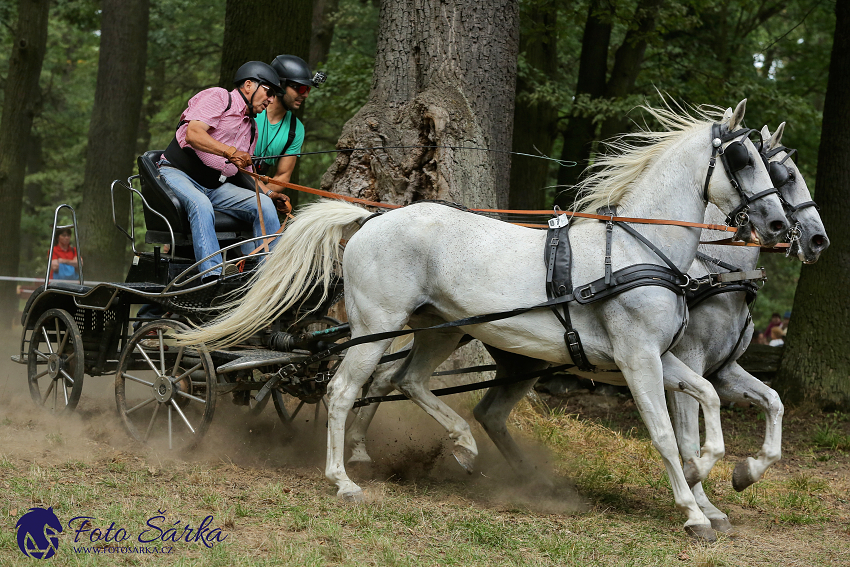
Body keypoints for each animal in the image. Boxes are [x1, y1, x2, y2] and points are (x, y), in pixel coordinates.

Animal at [181, 101, 788, 540]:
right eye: (744, 160)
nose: (782, 225)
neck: (641, 250)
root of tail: (371, 219)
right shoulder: (638, 360)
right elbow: (664, 432)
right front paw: (694, 509)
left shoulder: (659, 358)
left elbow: (710, 402)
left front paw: (720, 472)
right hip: (376, 327)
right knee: (344, 390)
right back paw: (344, 480)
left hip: (441, 329)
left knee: (406, 380)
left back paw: (462, 448)